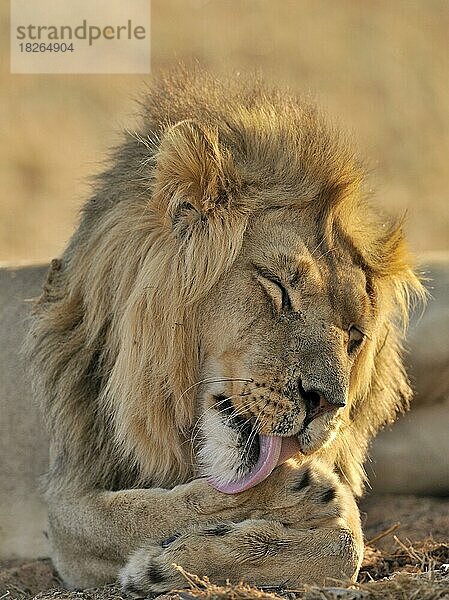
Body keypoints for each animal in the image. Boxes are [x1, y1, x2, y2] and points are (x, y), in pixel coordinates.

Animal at [21, 70, 428, 596]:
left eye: (355, 336)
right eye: (278, 287)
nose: (327, 404)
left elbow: (346, 547)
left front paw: (172, 564)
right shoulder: (65, 508)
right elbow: (146, 510)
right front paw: (294, 494)